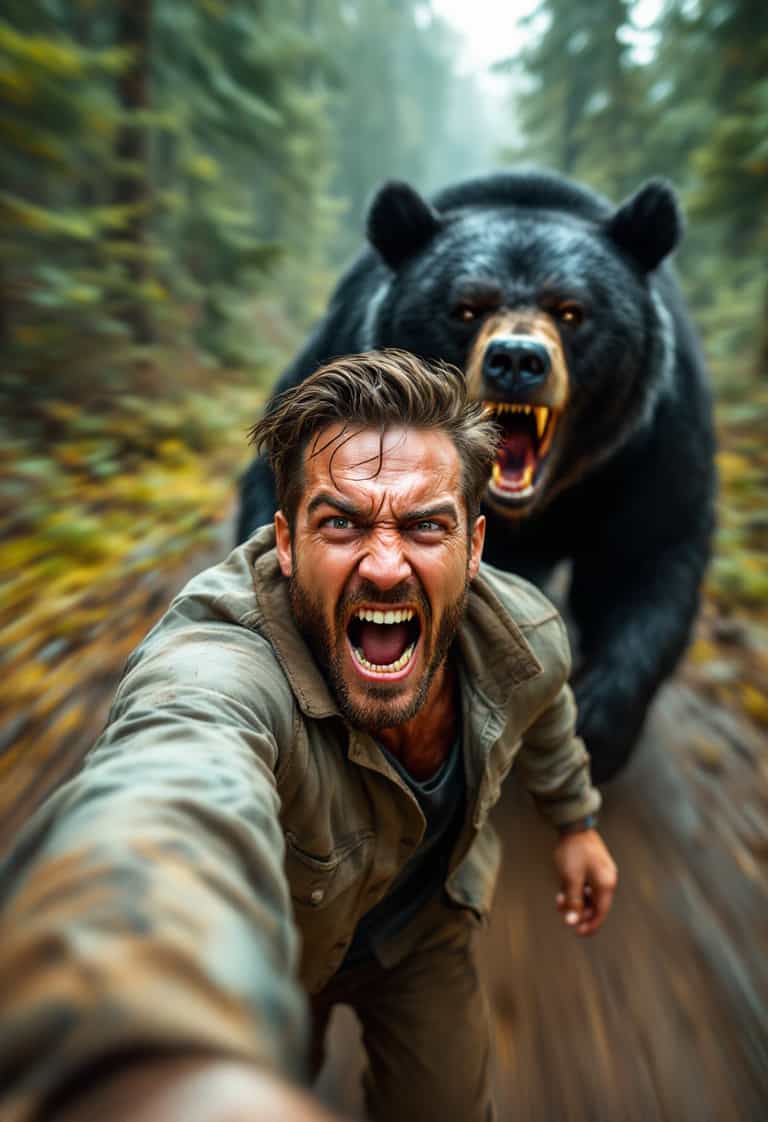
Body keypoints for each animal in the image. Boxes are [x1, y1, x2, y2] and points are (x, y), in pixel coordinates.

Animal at [237, 170, 716, 783]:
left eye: (571, 310)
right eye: (466, 307)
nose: (516, 360)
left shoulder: (647, 446)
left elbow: (648, 557)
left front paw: (596, 722)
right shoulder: (338, 363)